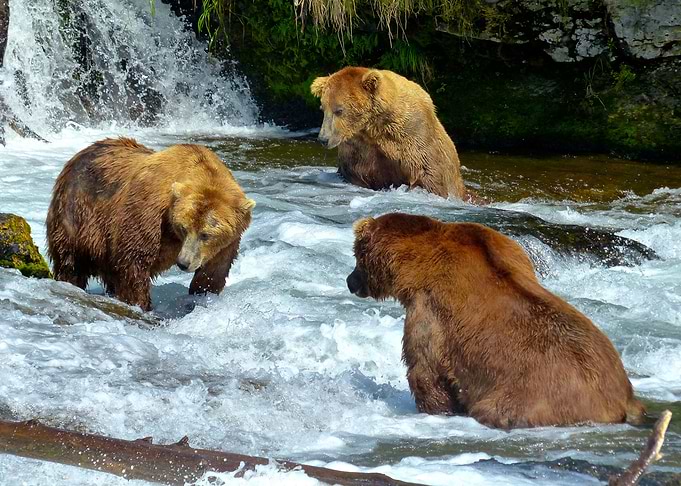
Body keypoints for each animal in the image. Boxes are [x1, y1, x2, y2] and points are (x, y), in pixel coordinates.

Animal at [46, 137, 255, 311]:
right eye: (183, 228)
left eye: (206, 234)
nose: (183, 263)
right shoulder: (148, 214)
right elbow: (134, 264)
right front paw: (142, 305)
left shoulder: (226, 244)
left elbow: (214, 272)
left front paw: (201, 296)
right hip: (78, 213)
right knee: (71, 262)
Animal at [310, 67, 468, 200]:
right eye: (323, 108)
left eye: (339, 110)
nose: (323, 138)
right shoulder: (359, 148)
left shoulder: (417, 139)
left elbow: (429, 176)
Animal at [346, 213, 645, 429]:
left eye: (356, 256)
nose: (350, 281)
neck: (414, 265)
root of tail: (620, 401)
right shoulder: (508, 248)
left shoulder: (429, 313)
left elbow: (425, 372)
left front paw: (436, 409)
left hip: (531, 396)